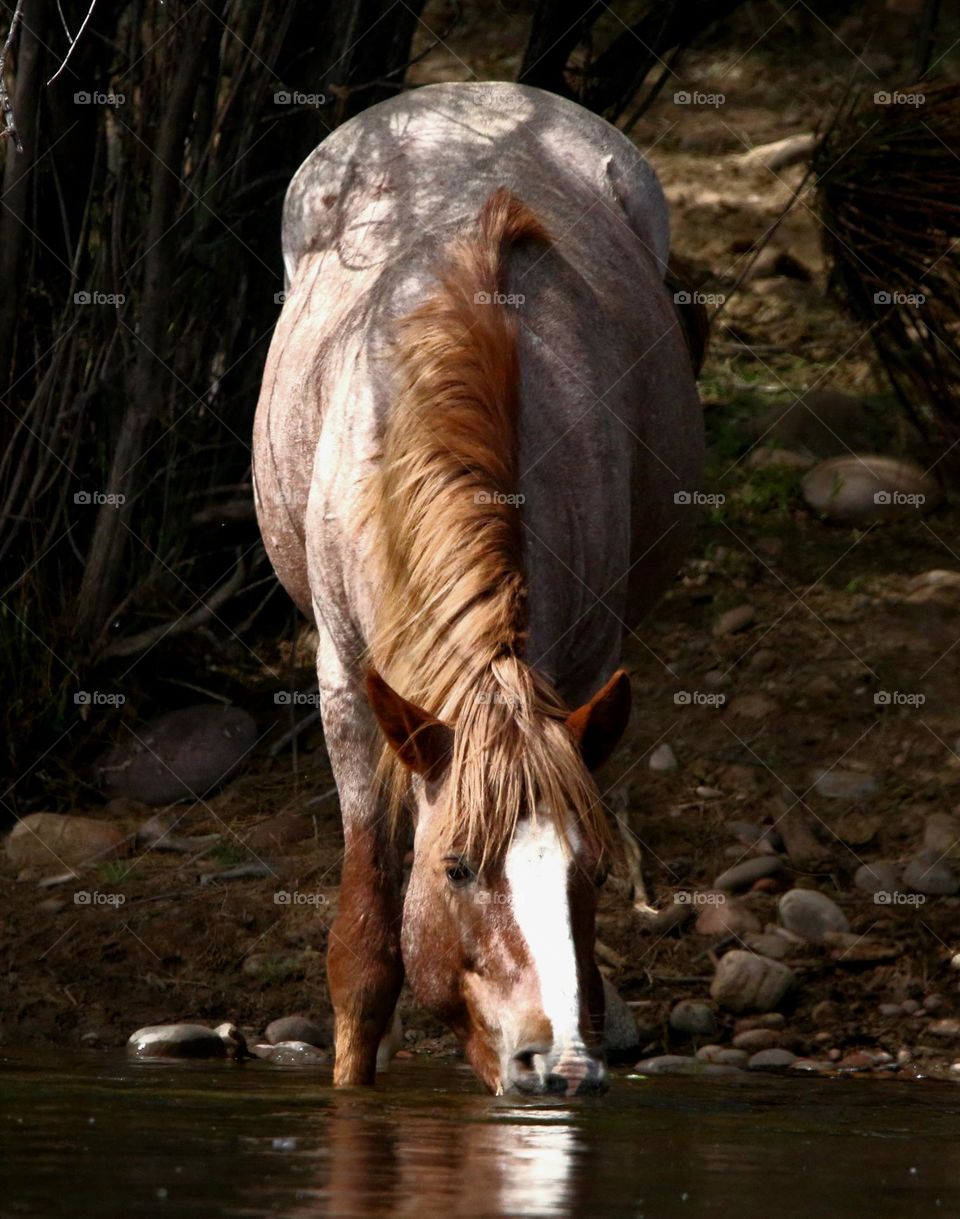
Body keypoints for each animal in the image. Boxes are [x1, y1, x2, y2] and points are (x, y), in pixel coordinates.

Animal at [253, 81, 704, 1095]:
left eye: (591, 874)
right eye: (457, 867)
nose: (554, 1062)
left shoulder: (579, 674)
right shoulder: (349, 686)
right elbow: (366, 947)